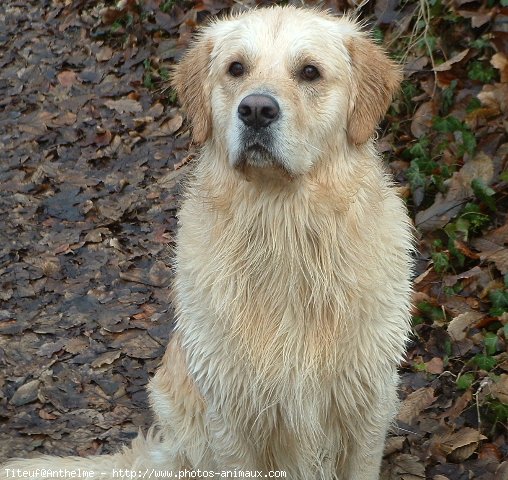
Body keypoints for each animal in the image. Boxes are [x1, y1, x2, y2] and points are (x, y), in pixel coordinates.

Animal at [0, 4, 412, 480]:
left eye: (310, 71)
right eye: (236, 68)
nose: (256, 109)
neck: (283, 230)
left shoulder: (366, 406)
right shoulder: (231, 413)